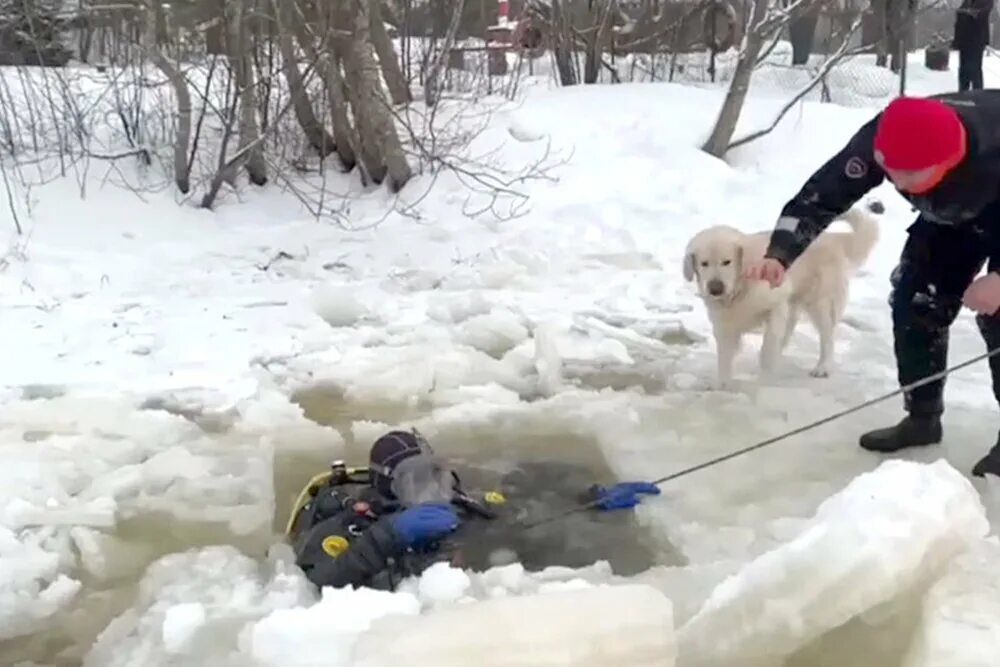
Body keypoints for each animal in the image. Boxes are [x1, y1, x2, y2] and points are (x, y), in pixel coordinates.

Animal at [684, 207, 880, 386]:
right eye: (704, 263)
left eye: (727, 262)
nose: (715, 288)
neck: (741, 287)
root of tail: (833, 237)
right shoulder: (723, 324)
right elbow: (724, 356)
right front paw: (722, 384)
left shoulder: (776, 305)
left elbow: (768, 346)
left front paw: (765, 371)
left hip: (819, 302)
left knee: (827, 337)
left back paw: (822, 367)